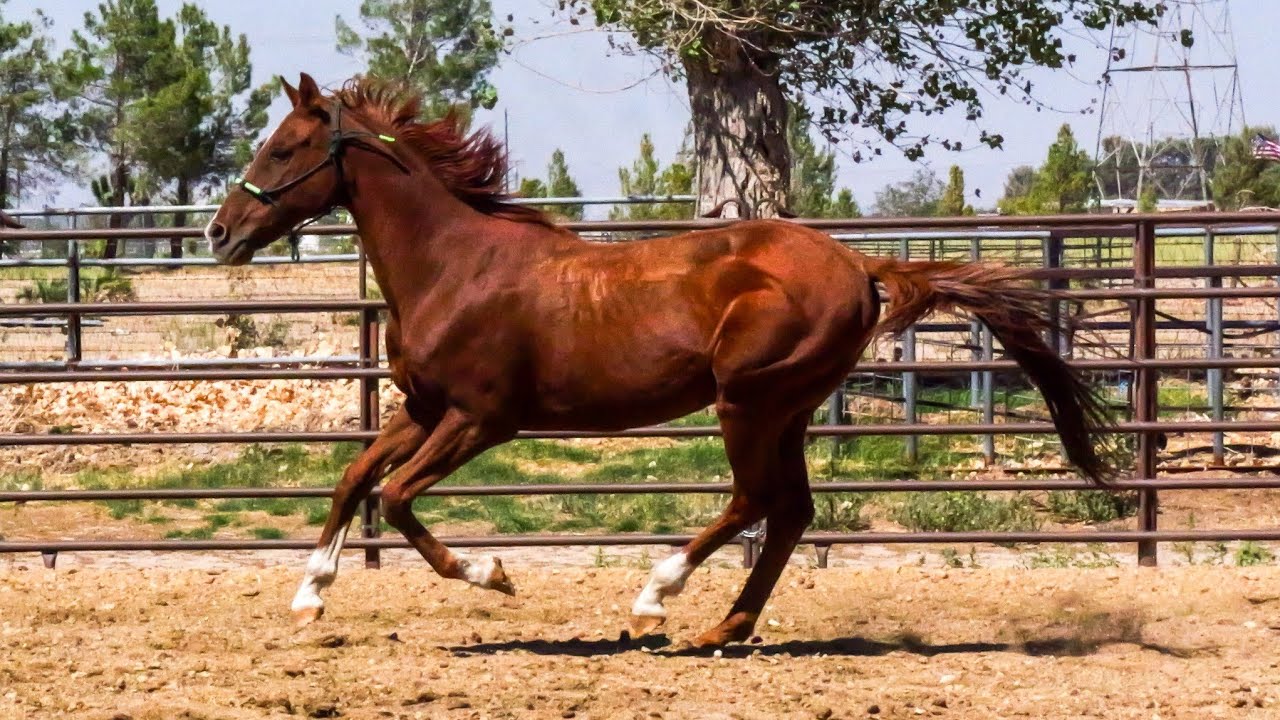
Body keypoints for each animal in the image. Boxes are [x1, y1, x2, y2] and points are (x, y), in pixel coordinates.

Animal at [205, 73, 1114, 648]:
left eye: (283, 148)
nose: (218, 232)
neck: (455, 265)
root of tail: (861, 267)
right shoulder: (424, 408)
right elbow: (354, 479)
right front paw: (308, 597)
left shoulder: (481, 419)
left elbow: (394, 497)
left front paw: (492, 573)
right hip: (787, 408)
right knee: (790, 512)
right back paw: (721, 629)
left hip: (747, 402)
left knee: (754, 501)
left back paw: (654, 599)